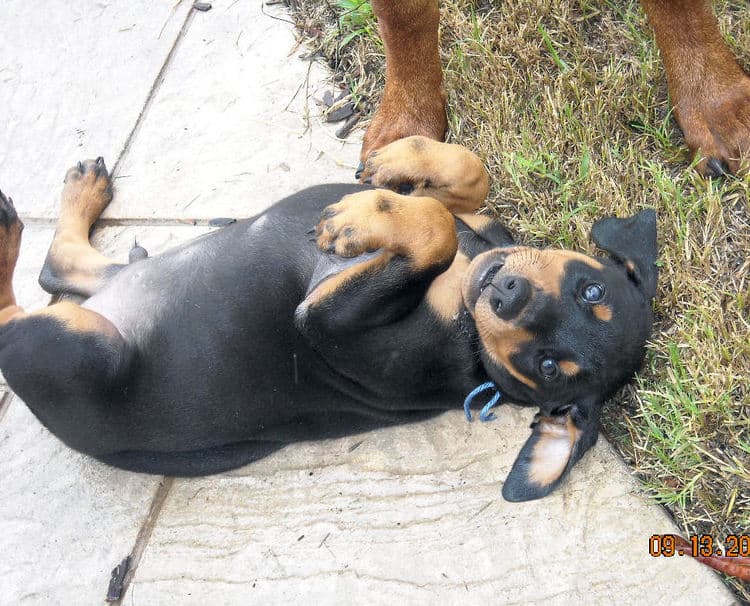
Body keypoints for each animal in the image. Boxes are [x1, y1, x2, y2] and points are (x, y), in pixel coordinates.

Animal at [0, 139, 656, 504]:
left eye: (550, 367)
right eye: (590, 289)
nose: (510, 296)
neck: (469, 333)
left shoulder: (326, 325)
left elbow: (433, 231)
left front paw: (359, 218)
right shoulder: (480, 230)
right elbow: (467, 180)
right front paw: (399, 162)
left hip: (82, 352)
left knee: (19, 309)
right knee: (61, 272)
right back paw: (83, 189)